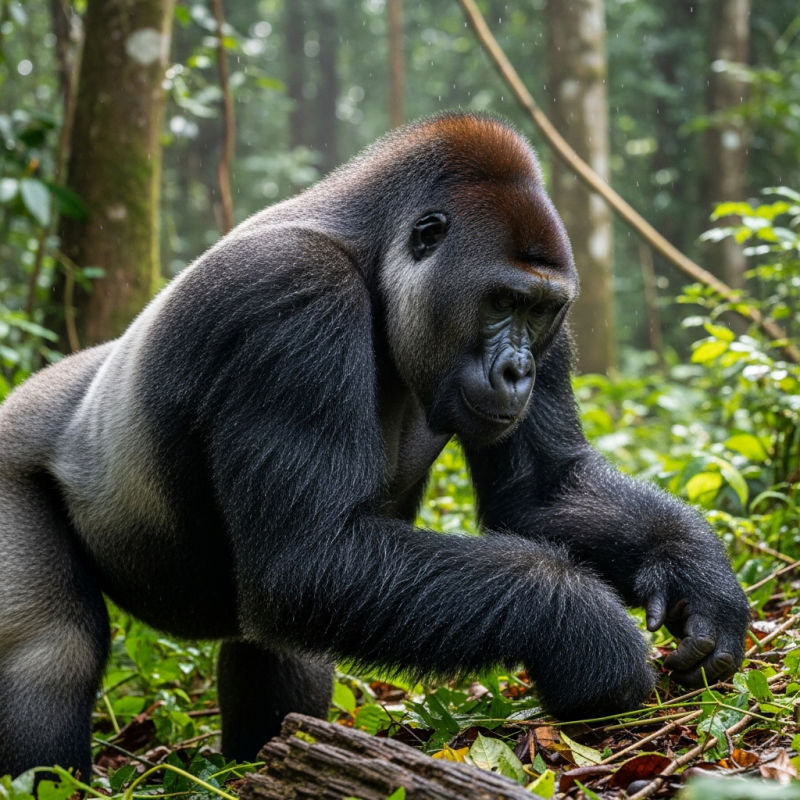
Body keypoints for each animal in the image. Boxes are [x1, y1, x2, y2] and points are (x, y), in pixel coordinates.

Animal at [0, 112, 750, 779]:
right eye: (502, 301)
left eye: (540, 311)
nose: (519, 371)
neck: (369, 251)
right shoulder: (295, 295)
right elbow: (312, 558)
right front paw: (583, 631)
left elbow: (542, 494)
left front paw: (693, 572)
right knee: (52, 651)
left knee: (281, 648)